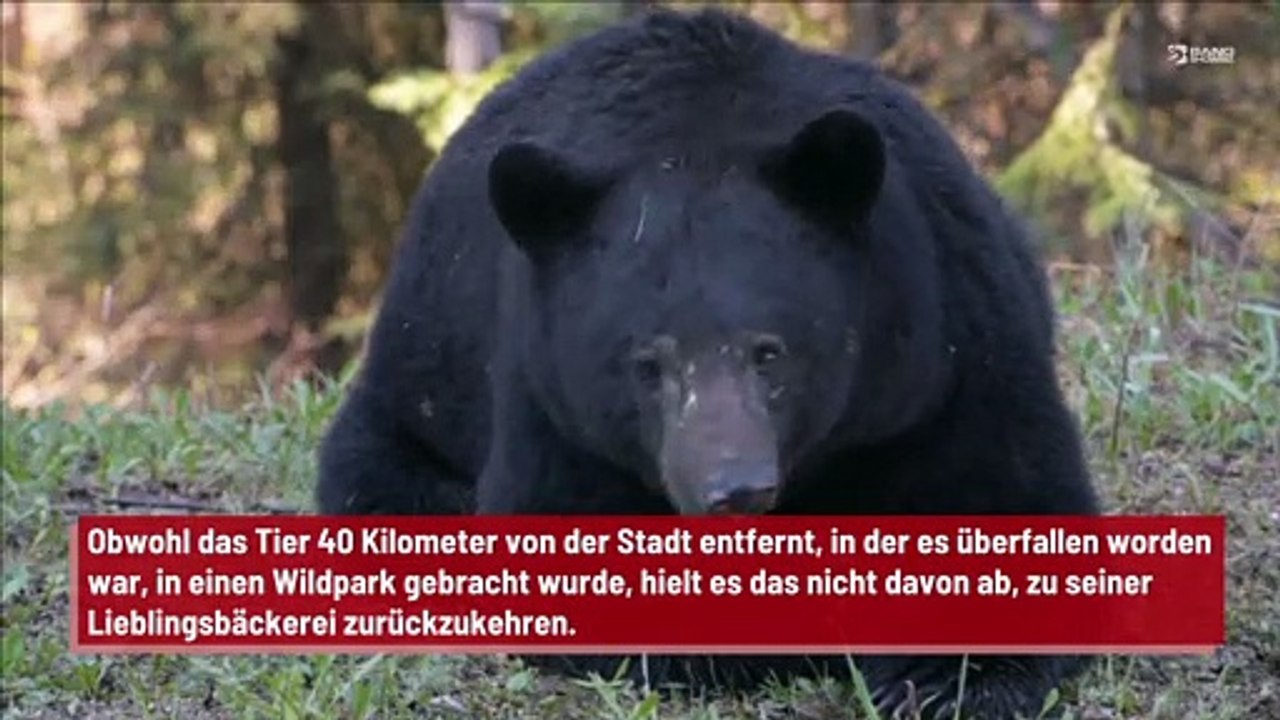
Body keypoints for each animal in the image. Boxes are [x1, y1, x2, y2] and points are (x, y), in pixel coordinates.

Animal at [316, 7, 1100, 719]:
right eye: (647, 364)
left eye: (769, 353)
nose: (735, 490)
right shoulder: (548, 398)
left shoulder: (948, 337)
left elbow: (1003, 496)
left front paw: (949, 678)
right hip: (421, 373)